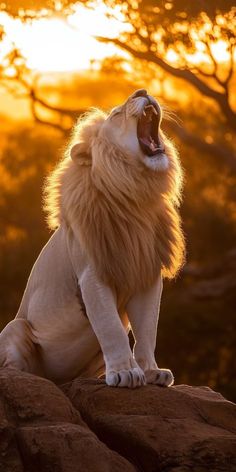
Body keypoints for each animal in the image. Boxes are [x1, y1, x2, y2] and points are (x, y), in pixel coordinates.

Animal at [0, 88, 185, 388]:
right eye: (116, 113)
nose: (142, 91)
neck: (136, 196)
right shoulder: (92, 275)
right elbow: (111, 328)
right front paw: (124, 372)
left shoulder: (146, 272)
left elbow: (147, 330)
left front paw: (150, 371)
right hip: (17, 328)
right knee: (15, 369)